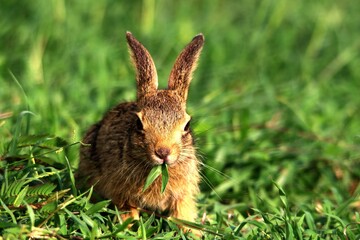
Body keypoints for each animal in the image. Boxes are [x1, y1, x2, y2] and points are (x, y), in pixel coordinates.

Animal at [77, 31, 204, 229]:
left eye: (187, 125)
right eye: (138, 123)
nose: (163, 152)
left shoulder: (182, 196)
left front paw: (193, 232)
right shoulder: (122, 193)